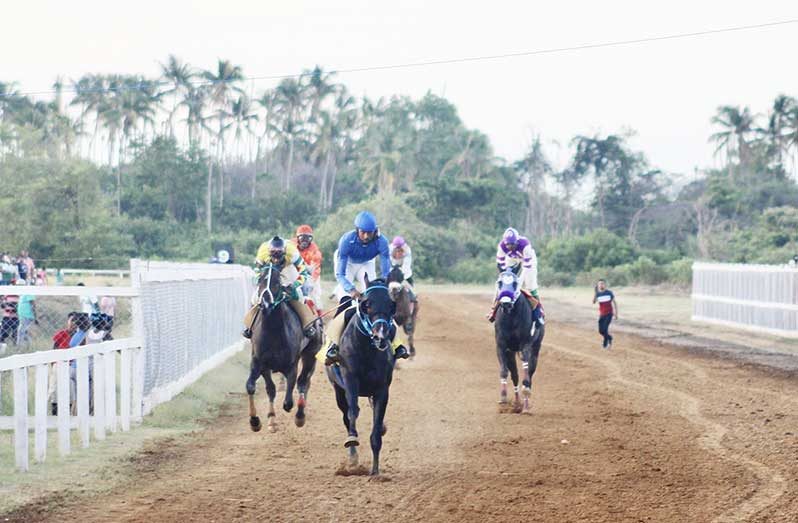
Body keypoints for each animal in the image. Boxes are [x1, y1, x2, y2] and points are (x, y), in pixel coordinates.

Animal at [245, 264, 324, 432]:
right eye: (260, 280)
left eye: (276, 282)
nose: (265, 303)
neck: (273, 332)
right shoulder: (259, 363)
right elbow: (256, 387)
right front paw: (257, 421)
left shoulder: (291, 365)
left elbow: (288, 401)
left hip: (310, 355)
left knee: (303, 382)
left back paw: (300, 416)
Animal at [326, 276, 398, 476]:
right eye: (367, 304)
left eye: (391, 304)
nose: (381, 335)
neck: (367, 349)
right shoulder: (350, 380)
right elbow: (353, 411)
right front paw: (352, 441)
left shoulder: (382, 389)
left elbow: (377, 425)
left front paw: (375, 472)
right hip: (338, 390)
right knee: (346, 415)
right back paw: (352, 457)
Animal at [496, 270, 548, 414]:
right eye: (499, 282)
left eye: (515, 283)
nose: (506, 303)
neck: (511, 317)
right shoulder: (501, 345)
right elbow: (505, 371)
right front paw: (503, 399)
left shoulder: (526, 345)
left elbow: (526, 377)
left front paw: (526, 406)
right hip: (511, 353)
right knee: (515, 375)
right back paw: (517, 403)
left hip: (536, 349)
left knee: (530, 374)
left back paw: (525, 403)